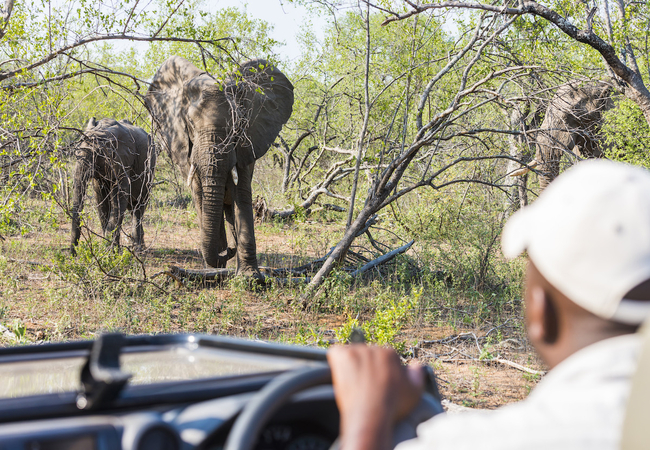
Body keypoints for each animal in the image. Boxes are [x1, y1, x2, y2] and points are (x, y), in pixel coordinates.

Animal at [70, 118, 156, 255]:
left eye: (97, 154)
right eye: (76, 152)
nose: (74, 255)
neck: (104, 132)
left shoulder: (124, 161)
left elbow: (119, 197)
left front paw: (109, 251)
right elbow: (101, 200)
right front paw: (111, 250)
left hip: (149, 171)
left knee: (138, 207)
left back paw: (138, 250)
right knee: (132, 208)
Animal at [145, 56, 294, 278]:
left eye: (238, 124)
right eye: (190, 123)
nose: (228, 250)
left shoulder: (246, 144)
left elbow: (242, 194)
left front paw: (250, 277)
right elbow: (200, 196)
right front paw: (213, 272)